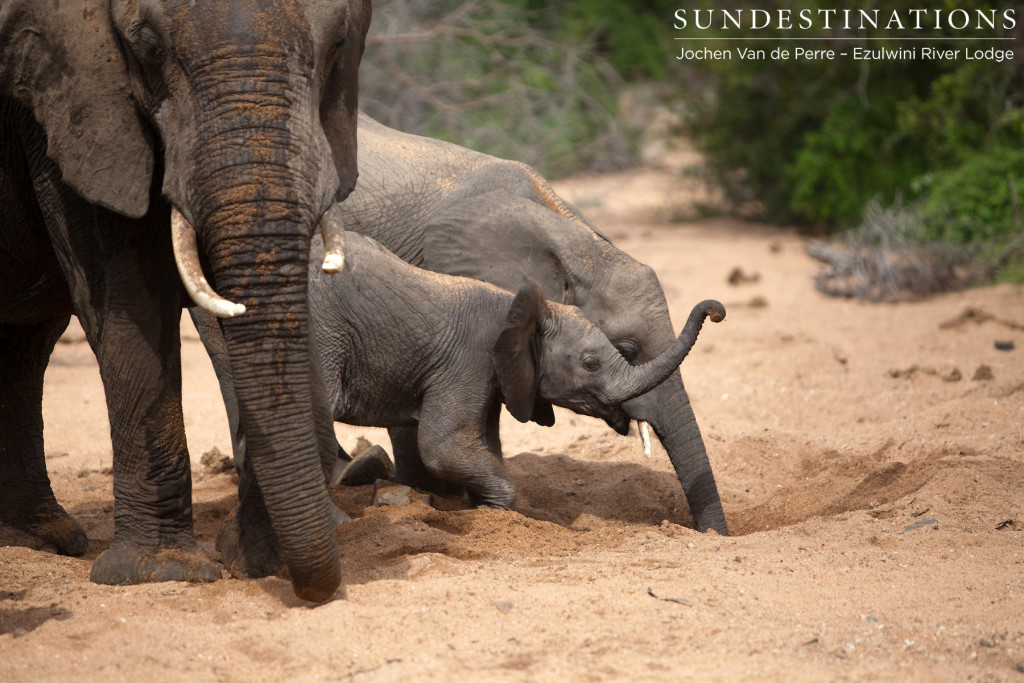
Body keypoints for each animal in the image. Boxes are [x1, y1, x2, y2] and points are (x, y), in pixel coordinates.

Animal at [0, 0, 372, 602]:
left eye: (339, 44)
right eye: (148, 50)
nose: (317, 592)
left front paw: (258, 560)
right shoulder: (75, 104)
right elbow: (129, 289)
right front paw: (159, 574)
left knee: (22, 346)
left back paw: (37, 538)